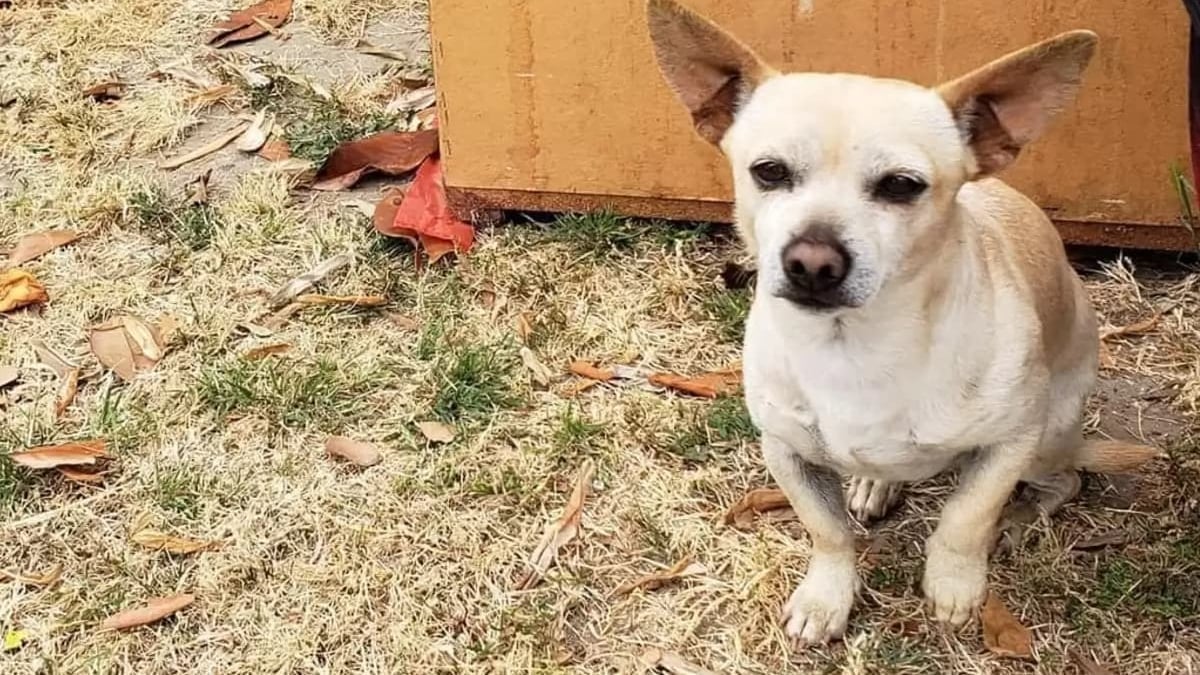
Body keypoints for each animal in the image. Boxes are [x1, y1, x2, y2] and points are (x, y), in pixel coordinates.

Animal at [648, 0, 1161, 643]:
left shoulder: (1010, 443)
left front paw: (955, 586)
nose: (811, 261)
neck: (854, 346)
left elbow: (965, 519)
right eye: (768, 172)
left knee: (1064, 482)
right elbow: (827, 532)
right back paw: (877, 481)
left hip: (1048, 439)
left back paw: (1018, 519)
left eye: (900, 186)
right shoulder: (786, 452)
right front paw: (827, 598)